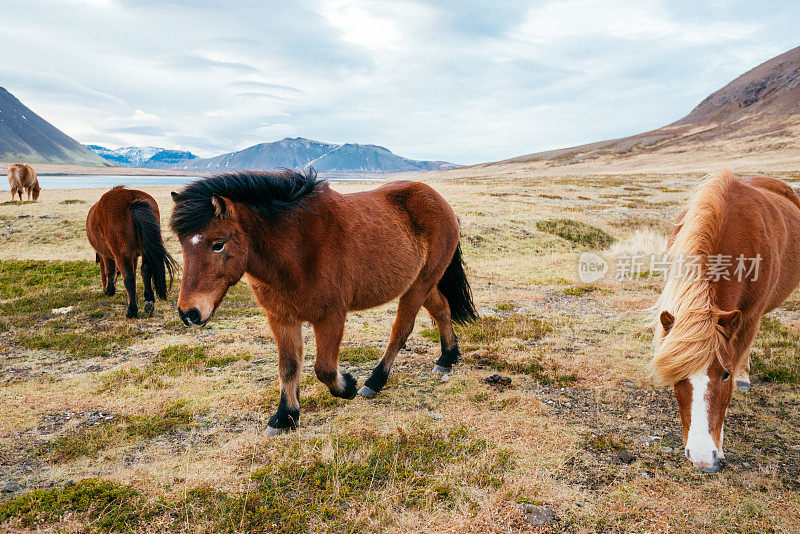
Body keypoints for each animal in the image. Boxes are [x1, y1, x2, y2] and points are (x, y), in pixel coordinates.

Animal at [86, 188, 177, 318]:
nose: (104, 289)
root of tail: (132, 201)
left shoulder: (106, 255)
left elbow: (110, 271)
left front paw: (109, 290)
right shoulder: (134, 256)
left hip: (122, 254)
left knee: (128, 278)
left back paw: (132, 310)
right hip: (145, 252)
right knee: (145, 271)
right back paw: (148, 301)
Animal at [170, 170, 478, 438]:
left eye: (218, 244)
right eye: (182, 244)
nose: (189, 313)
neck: (297, 247)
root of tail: (439, 201)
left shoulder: (331, 317)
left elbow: (324, 369)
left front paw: (348, 386)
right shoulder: (281, 318)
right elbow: (288, 366)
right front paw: (284, 417)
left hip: (419, 284)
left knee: (401, 329)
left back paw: (374, 382)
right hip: (421, 283)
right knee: (441, 310)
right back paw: (447, 358)